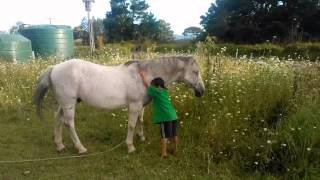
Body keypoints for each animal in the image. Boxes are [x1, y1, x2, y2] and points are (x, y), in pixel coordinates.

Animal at [33, 56, 205, 153]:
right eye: (195, 72)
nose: (201, 91)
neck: (144, 75)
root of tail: (54, 68)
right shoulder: (134, 105)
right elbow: (131, 125)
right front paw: (130, 146)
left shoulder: (141, 106)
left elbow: (140, 121)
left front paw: (141, 137)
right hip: (69, 104)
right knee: (69, 123)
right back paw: (80, 148)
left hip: (64, 103)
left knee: (58, 119)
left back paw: (59, 145)